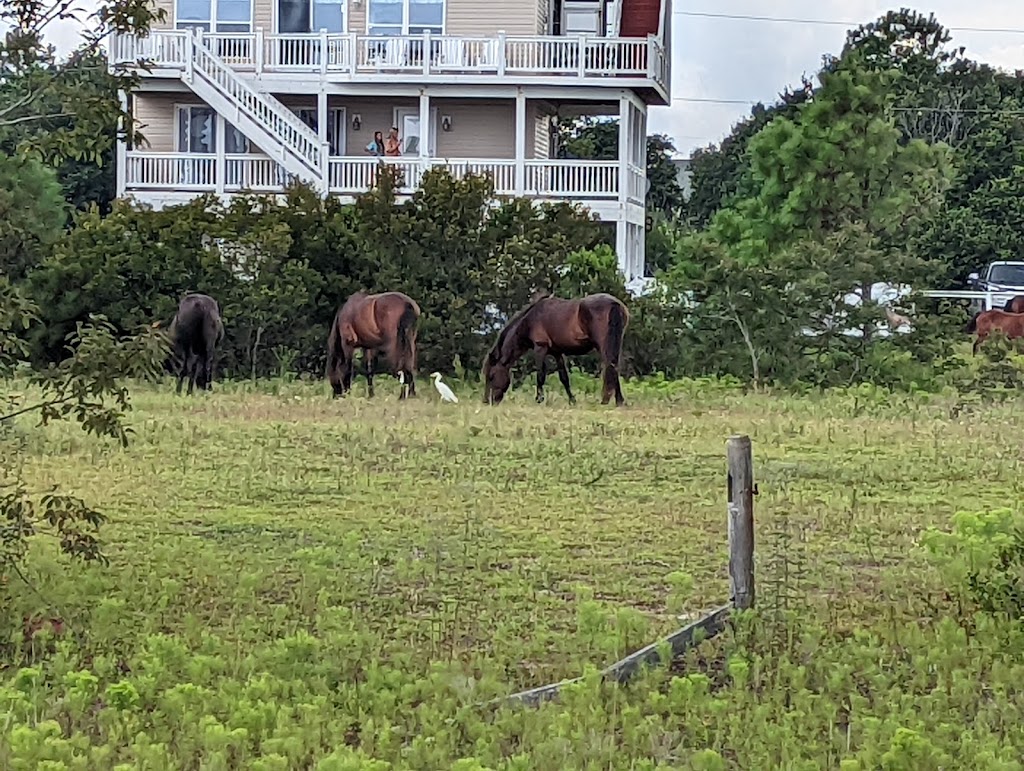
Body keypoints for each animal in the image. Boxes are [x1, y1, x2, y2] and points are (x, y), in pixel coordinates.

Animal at [481, 290, 630, 405]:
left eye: (491, 376)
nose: (487, 401)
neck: (530, 319)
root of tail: (614, 304)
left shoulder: (540, 348)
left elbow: (540, 375)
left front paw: (539, 399)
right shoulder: (557, 352)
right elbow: (564, 377)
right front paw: (572, 401)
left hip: (602, 345)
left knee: (610, 366)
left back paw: (607, 400)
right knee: (613, 366)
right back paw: (619, 401)